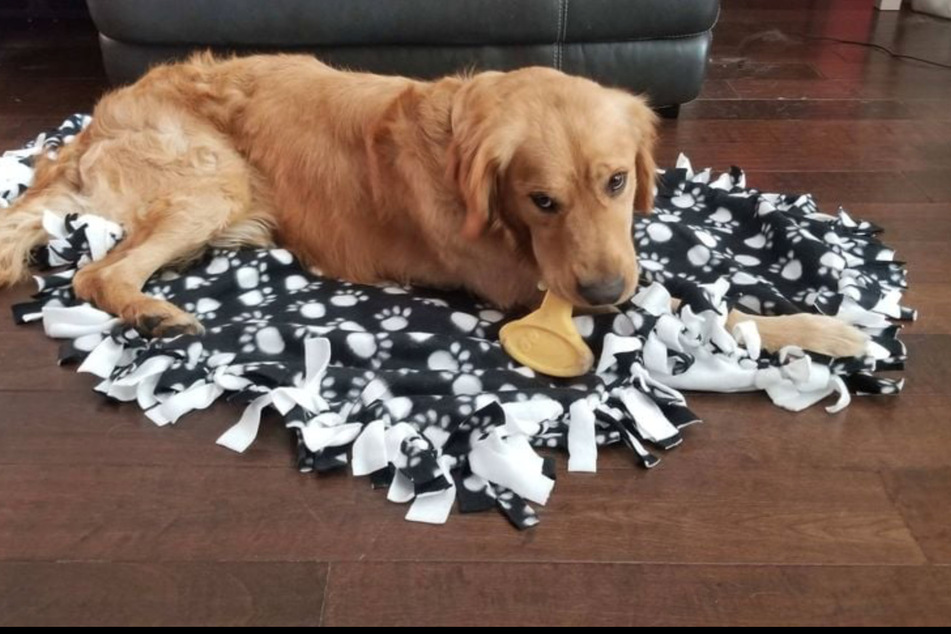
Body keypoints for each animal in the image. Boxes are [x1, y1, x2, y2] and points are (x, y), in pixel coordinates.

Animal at [0, 54, 868, 356]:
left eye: (617, 182)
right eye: (542, 200)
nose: (600, 289)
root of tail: (92, 122)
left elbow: (684, 285)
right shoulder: (528, 287)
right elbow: (701, 308)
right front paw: (823, 330)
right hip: (215, 182)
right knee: (96, 276)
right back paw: (153, 314)